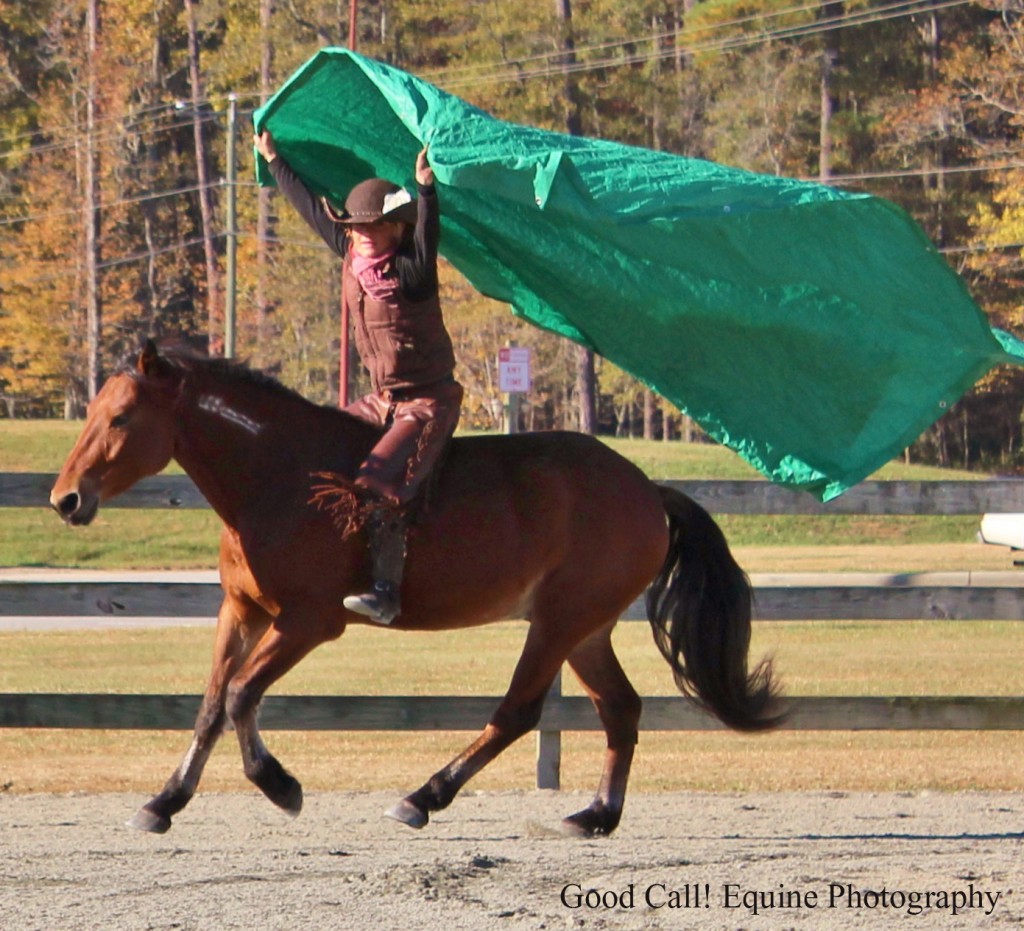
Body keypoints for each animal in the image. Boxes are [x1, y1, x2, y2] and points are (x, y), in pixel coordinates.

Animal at [51, 340, 778, 835]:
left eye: (120, 418)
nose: (66, 499)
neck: (279, 476)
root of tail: (647, 490)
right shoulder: (244, 611)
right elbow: (209, 706)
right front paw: (164, 801)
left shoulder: (307, 622)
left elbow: (239, 695)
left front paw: (280, 784)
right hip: (584, 630)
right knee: (620, 709)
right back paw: (597, 814)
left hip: (558, 623)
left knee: (518, 713)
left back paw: (424, 795)